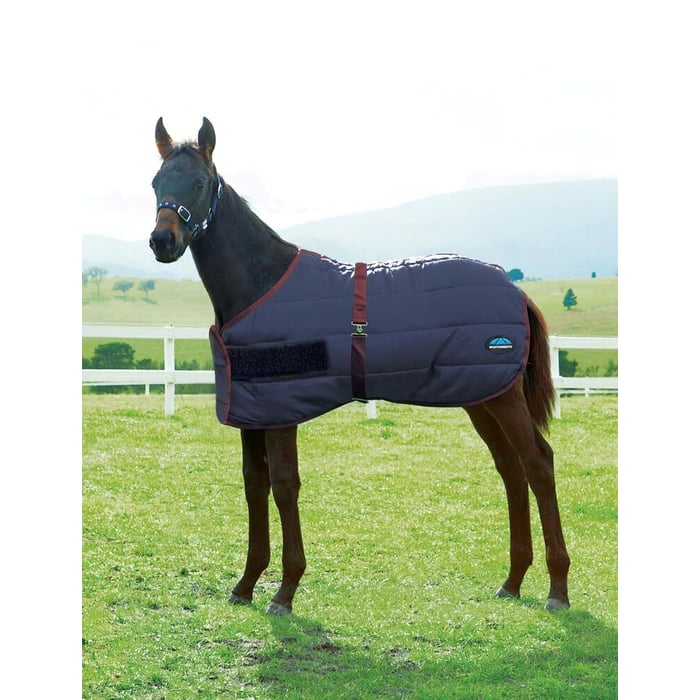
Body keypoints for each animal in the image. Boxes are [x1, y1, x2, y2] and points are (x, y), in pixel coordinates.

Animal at [149, 117, 570, 616]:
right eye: (155, 182)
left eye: (198, 183)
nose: (162, 241)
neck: (262, 284)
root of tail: (515, 289)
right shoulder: (252, 412)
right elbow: (255, 485)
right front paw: (246, 584)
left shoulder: (281, 413)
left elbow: (284, 485)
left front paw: (285, 591)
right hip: (481, 397)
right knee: (511, 470)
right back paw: (512, 581)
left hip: (503, 399)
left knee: (538, 463)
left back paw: (558, 590)